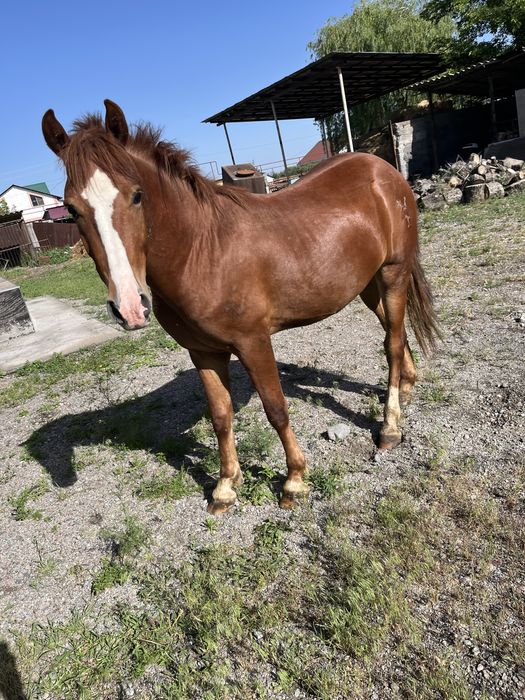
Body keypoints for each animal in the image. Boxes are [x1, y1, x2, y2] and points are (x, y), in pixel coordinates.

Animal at [42, 100, 438, 514]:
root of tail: (382, 169)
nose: (130, 308)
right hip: (368, 284)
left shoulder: (253, 342)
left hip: (393, 273)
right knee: (395, 332)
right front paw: (225, 487)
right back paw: (406, 389)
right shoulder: (203, 352)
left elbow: (275, 409)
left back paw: (390, 427)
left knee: (391, 344)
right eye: (72, 209)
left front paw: (294, 481)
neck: (202, 250)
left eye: (136, 195)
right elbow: (220, 416)